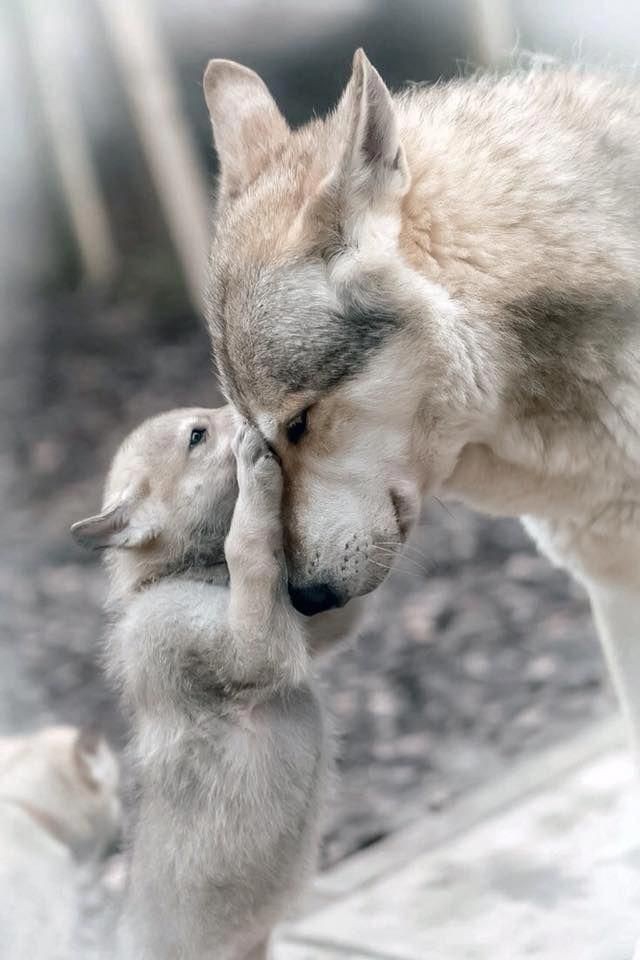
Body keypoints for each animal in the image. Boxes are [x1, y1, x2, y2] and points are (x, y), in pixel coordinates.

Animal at [72, 408, 329, 960]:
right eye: (197, 435)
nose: (251, 420)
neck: (175, 575)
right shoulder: (233, 644)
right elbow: (245, 547)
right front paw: (255, 474)